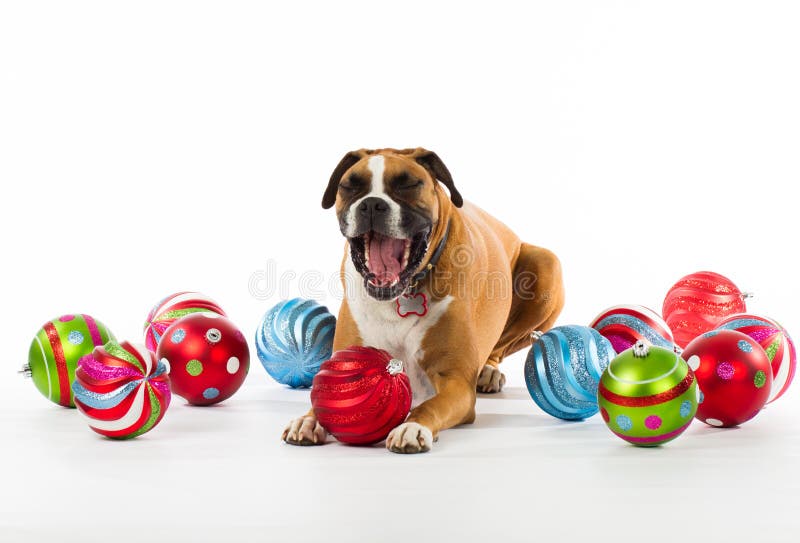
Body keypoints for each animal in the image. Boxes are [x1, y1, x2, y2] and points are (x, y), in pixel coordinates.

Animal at [282, 149, 564, 454]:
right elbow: (321, 397)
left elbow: (432, 405)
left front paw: (412, 426)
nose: (371, 204)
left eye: (408, 184)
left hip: (546, 263)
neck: (403, 293)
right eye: (350, 185)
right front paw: (308, 420)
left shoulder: (455, 382)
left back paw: (488, 370)